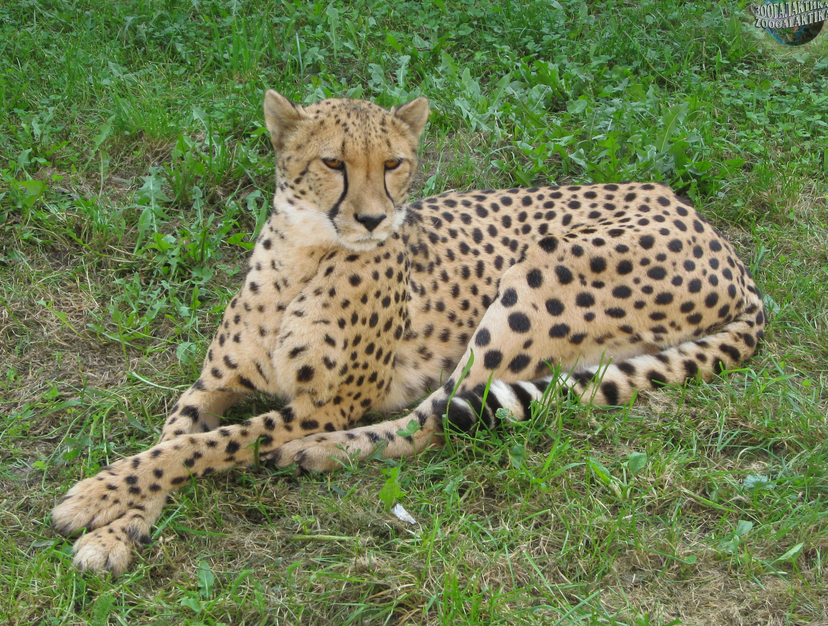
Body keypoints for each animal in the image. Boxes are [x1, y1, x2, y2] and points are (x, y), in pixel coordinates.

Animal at [50, 90, 764, 572]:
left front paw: (90, 495)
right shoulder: (209, 386)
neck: (304, 256)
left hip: (538, 276)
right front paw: (115, 530)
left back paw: (320, 453)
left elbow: (205, 447)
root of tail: (711, 231)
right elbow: (170, 444)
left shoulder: (326, 403)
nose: (371, 219)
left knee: (438, 416)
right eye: (333, 162)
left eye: (394, 163)